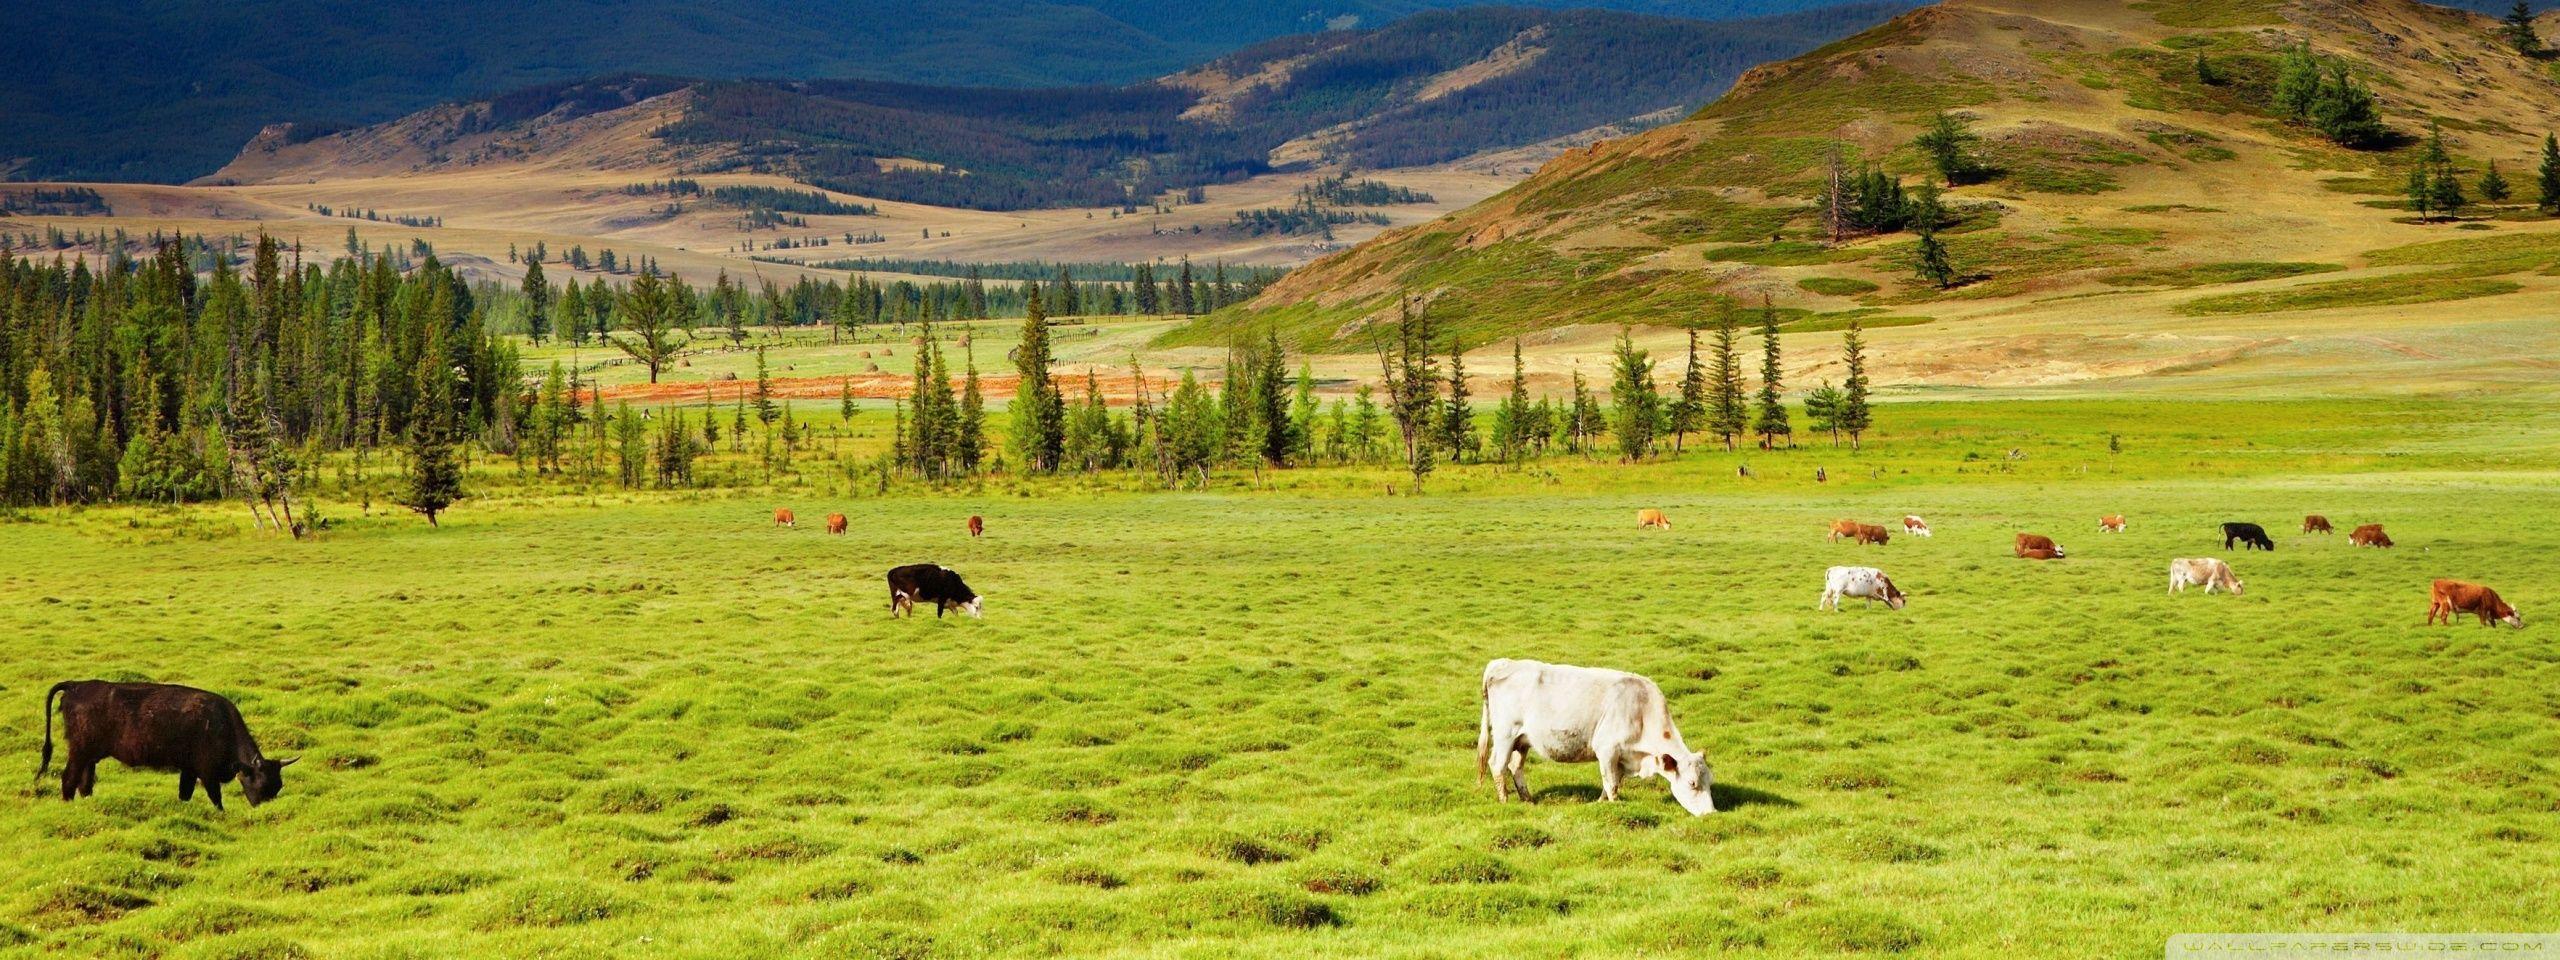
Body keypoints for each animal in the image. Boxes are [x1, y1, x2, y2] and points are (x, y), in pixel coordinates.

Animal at [38, 686, 296, 814]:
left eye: (278, 786)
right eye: (262, 786)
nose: (267, 813)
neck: (221, 724)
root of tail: (77, 685)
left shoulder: (189, 770)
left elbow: (185, 794)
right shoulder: (206, 772)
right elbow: (216, 798)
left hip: (89, 756)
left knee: (85, 783)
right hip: (79, 752)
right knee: (69, 780)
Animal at [1474, 660, 1710, 819]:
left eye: (1709, 781)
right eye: (1692, 783)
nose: (1711, 814)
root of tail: (1503, 663)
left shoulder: (1620, 757)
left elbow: (1612, 782)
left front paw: (1601, 802)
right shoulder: (1607, 749)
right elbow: (1611, 783)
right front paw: (1616, 807)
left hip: (1522, 741)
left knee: (1515, 767)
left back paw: (1528, 800)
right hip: (1505, 734)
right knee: (1498, 765)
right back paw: (1505, 801)